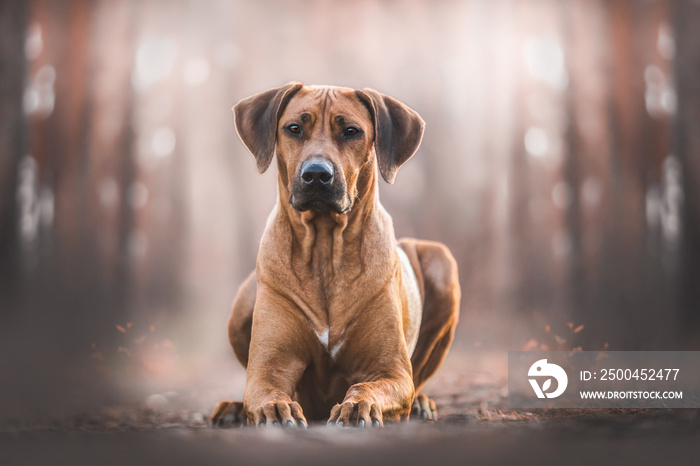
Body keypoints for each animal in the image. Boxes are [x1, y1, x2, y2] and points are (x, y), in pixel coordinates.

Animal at [209, 83, 460, 426]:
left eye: (351, 131)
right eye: (294, 128)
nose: (316, 174)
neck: (325, 250)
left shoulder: (392, 372)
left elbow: (372, 385)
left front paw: (358, 405)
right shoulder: (267, 370)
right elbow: (264, 389)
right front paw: (275, 408)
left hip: (441, 261)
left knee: (418, 379)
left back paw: (422, 403)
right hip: (241, 306)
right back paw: (231, 409)